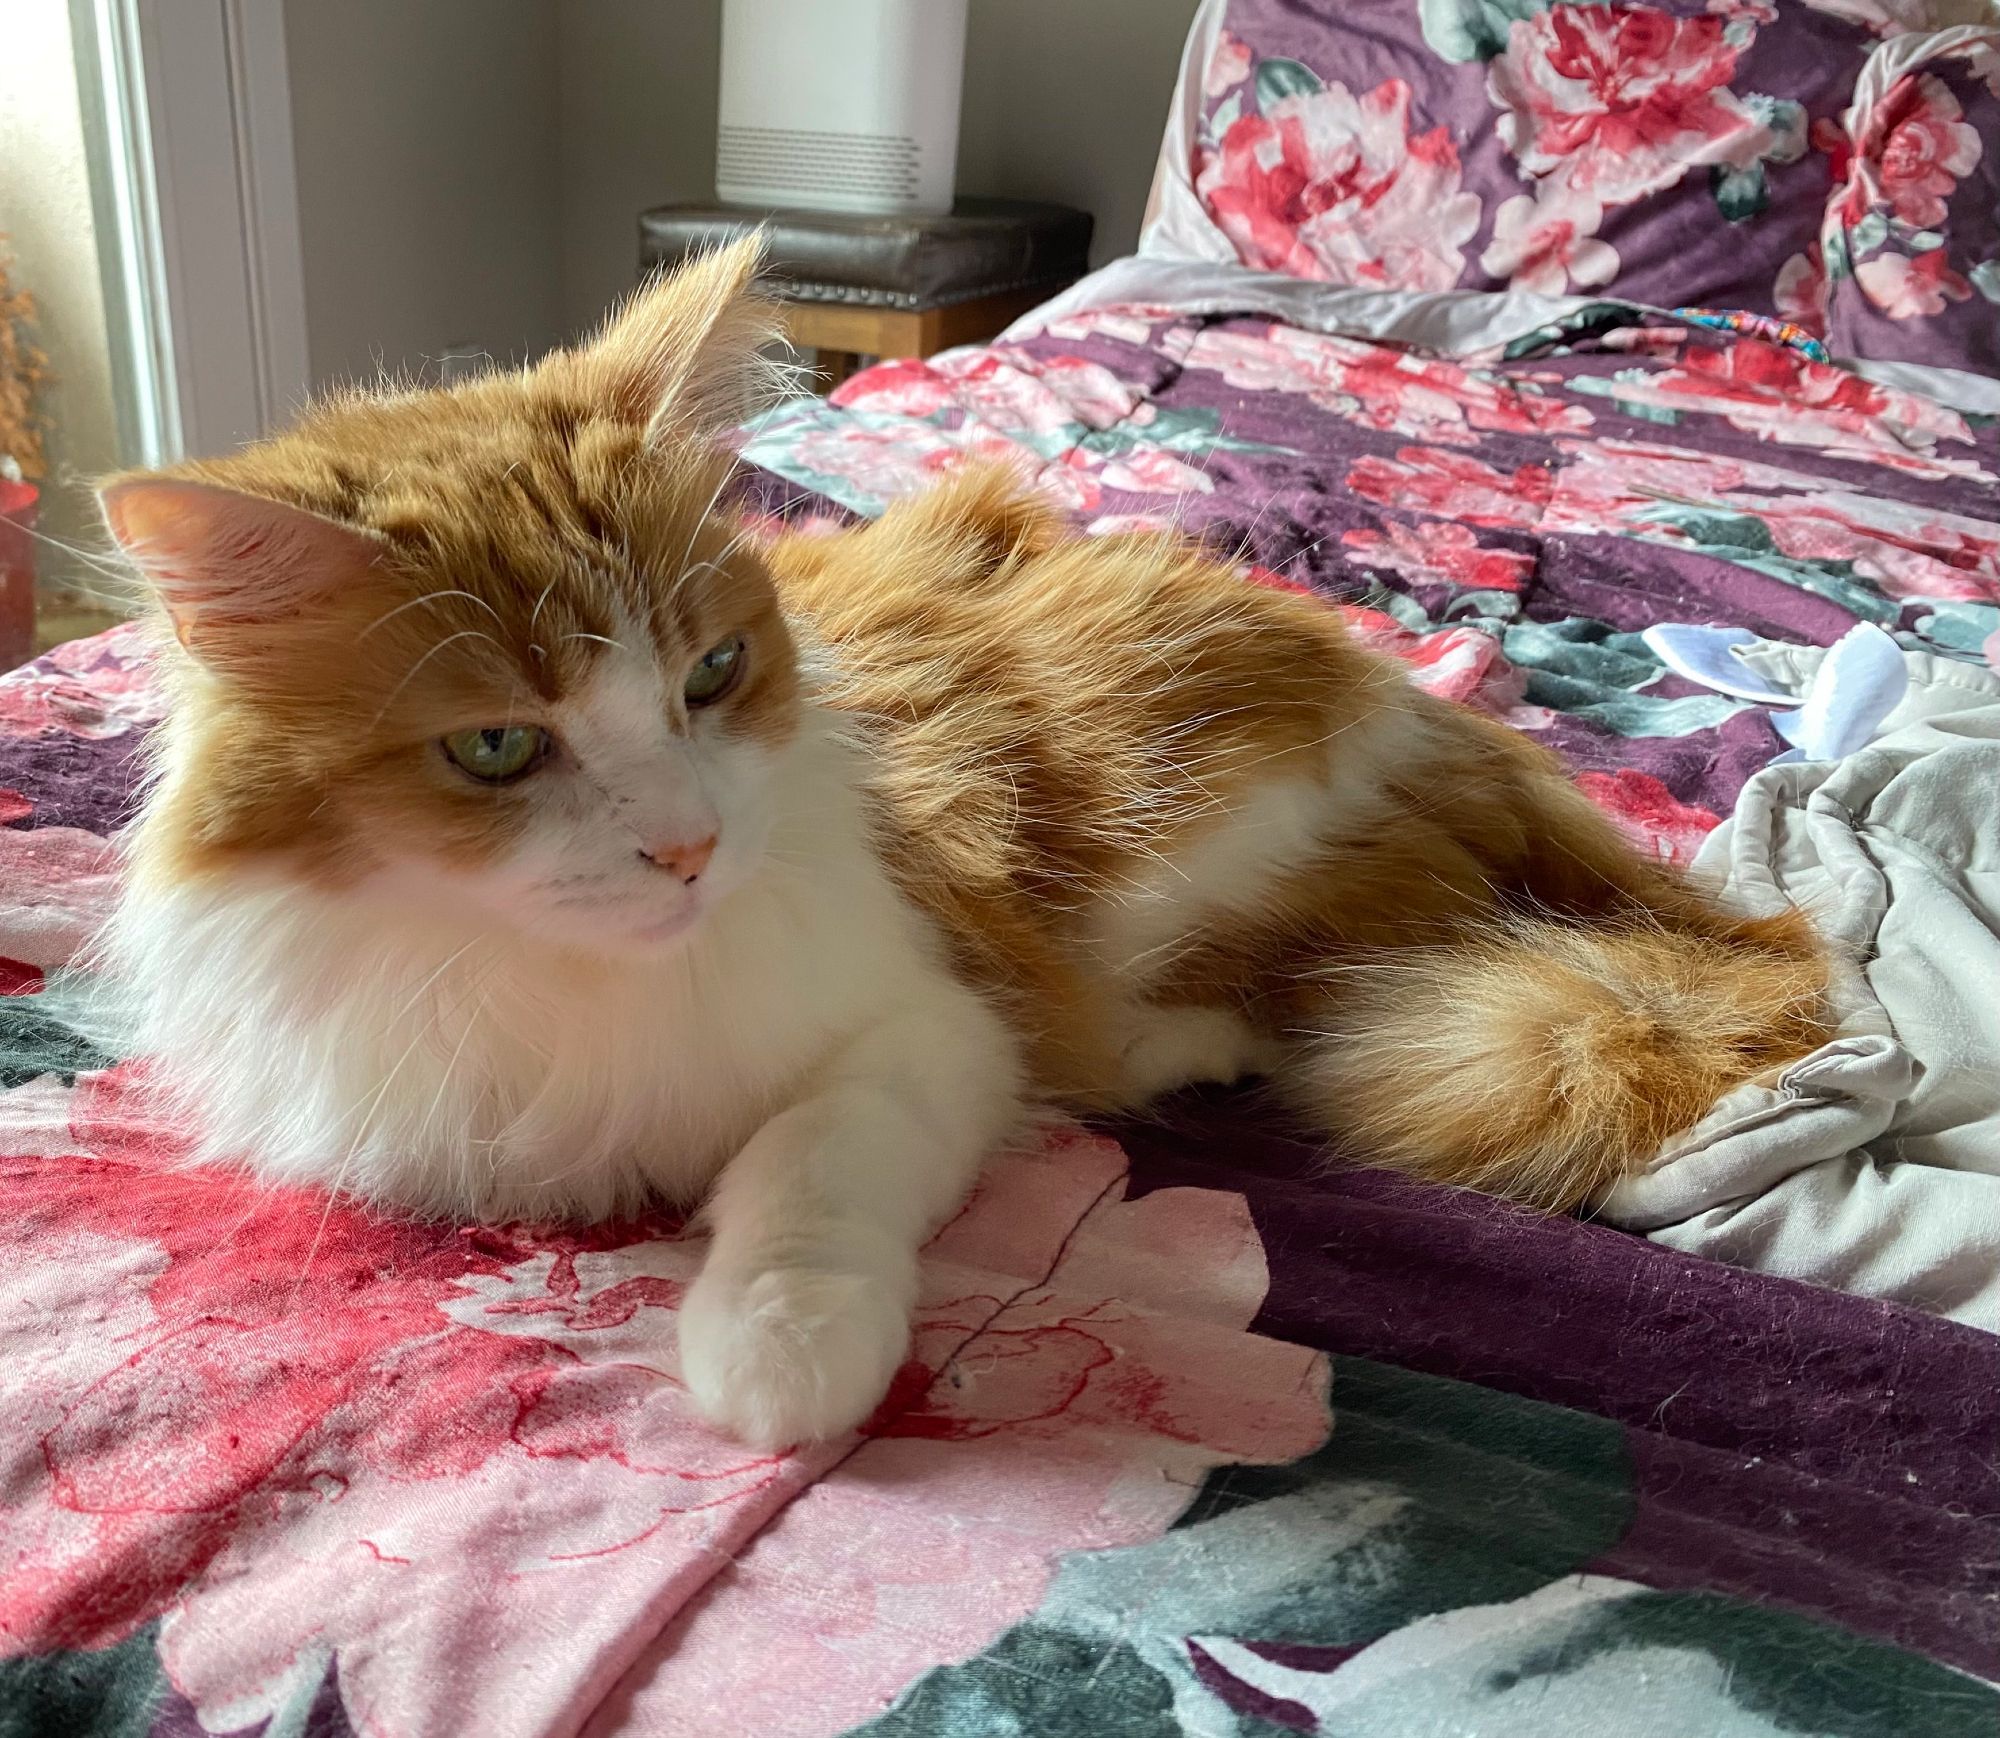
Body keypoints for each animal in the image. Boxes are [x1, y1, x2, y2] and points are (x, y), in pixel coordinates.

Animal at [105, 237, 1832, 1448]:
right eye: (496, 747)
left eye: (709, 675)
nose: (690, 850)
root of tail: (1426, 705)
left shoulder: (927, 1018)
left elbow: (806, 1167)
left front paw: (782, 1349)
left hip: (1162, 830)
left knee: (1299, 981)